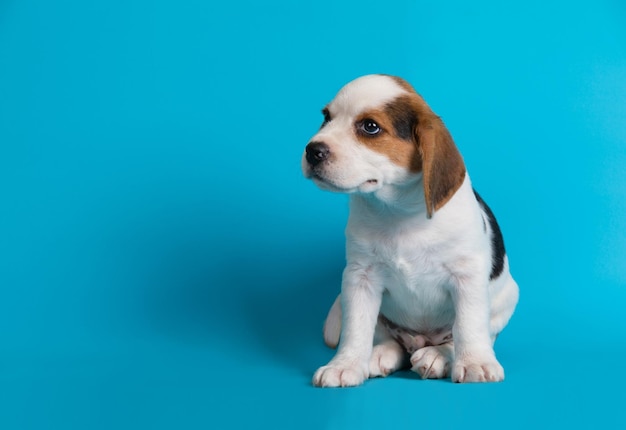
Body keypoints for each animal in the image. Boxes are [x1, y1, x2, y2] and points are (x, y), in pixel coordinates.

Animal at [300, 74, 516, 386]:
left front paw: (475, 362)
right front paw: (345, 364)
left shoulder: (467, 276)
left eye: (370, 127)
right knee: (391, 341)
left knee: (457, 337)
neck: (398, 212)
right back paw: (381, 354)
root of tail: (420, 339)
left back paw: (437, 356)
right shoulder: (360, 278)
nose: (312, 150)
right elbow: (356, 329)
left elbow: (468, 324)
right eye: (326, 117)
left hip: (507, 300)